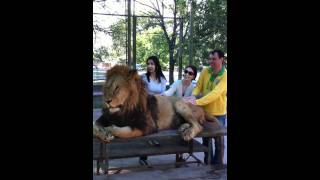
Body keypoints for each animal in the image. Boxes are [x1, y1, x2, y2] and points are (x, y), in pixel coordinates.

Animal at [91, 65, 219, 143]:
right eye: (107, 87)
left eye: (117, 88)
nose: (107, 101)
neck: (123, 110)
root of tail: (199, 105)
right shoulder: (105, 118)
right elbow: (94, 125)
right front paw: (103, 133)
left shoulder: (147, 126)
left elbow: (119, 130)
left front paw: (108, 130)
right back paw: (183, 127)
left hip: (179, 104)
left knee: (198, 125)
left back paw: (187, 133)